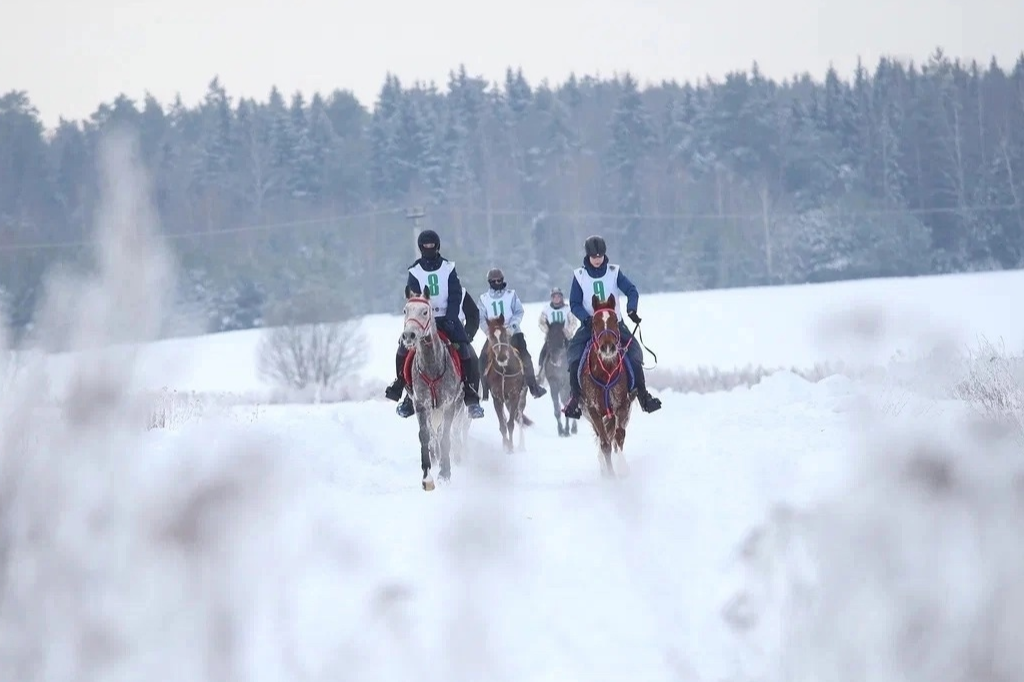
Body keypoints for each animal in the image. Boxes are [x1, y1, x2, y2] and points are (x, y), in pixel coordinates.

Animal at [399, 286, 464, 489]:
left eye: (425, 311)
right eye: (405, 310)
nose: (408, 336)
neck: (431, 365)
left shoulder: (448, 405)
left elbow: (445, 437)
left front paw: (445, 473)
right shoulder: (421, 405)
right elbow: (425, 436)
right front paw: (427, 477)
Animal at [481, 313, 528, 450]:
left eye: (503, 334)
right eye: (491, 337)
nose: (502, 357)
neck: (504, 370)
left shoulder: (514, 396)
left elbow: (511, 423)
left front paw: (511, 447)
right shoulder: (497, 398)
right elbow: (503, 425)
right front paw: (506, 445)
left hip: (522, 397)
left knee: (520, 417)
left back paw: (521, 445)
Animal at [577, 292, 630, 477]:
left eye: (614, 319)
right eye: (594, 322)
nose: (608, 347)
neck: (606, 372)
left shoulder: (621, 406)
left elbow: (618, 436)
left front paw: (622, 467)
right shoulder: (593, 411)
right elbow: (605, 443)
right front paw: (610, 475)